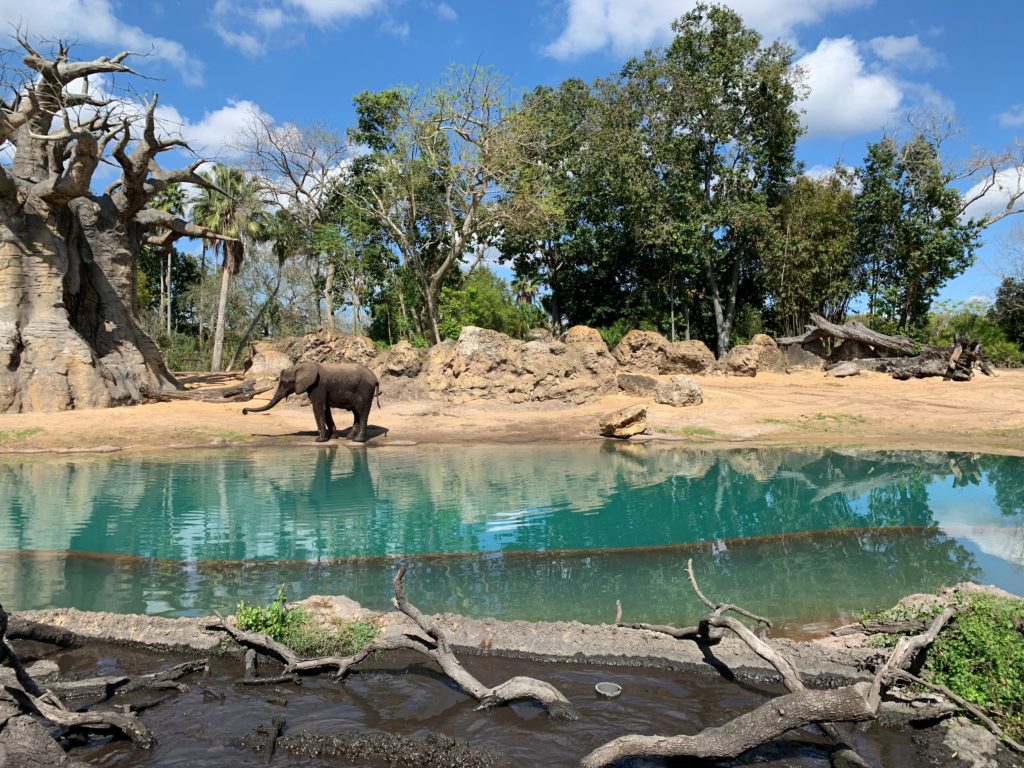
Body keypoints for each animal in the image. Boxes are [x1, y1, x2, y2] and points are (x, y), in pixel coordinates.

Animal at [242, 362, 380, 444]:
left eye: (285, 383)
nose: (244, 411)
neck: (300, 366)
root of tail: (375, 378)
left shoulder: (318, 386)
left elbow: (318, 408)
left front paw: (319, 440)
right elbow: (326, 410)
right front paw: (332, 437)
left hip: (364, 390)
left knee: (362, 412)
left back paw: (358, 440)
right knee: (356, 412)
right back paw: (349, 438)